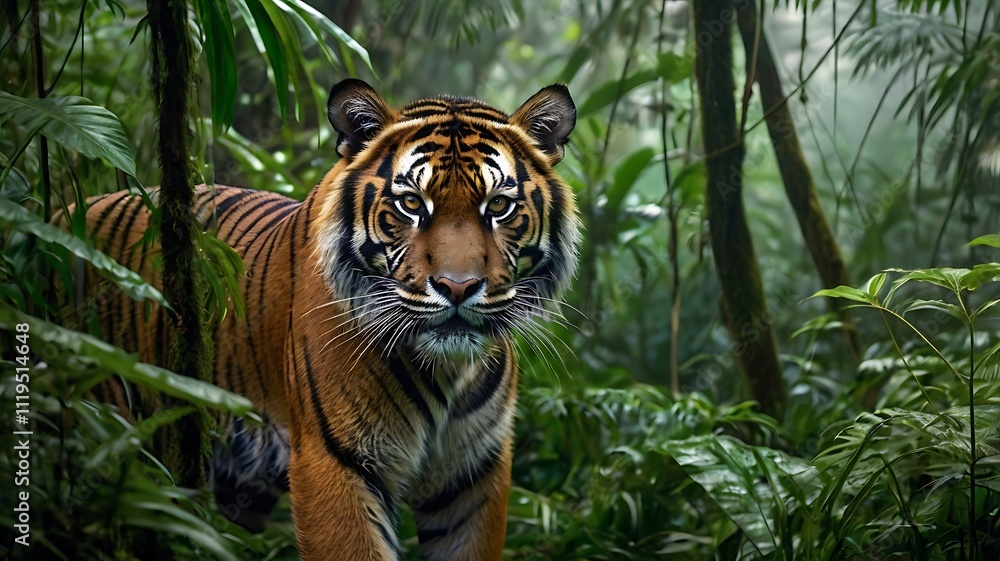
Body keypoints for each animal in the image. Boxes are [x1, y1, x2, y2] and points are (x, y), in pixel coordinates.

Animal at [62, 79, 580, 560]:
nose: (457, 287)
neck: (448, 371)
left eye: (499, 207)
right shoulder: (335, 462)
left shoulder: (473, 477)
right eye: (412, 204)